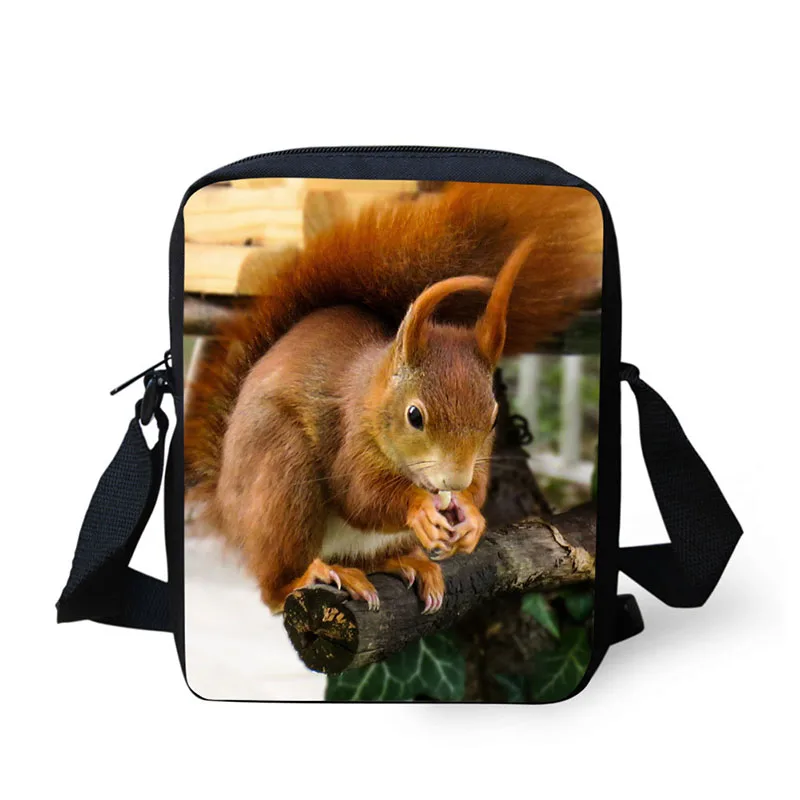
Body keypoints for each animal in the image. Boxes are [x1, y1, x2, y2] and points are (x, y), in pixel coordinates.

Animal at [185, 182, 602, 614]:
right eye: (414, 416)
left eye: (492, 418)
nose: (454, 480)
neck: (374, 393)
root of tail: (225, 511)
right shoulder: (350, 435)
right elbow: (360, 495)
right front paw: (418, 507)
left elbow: (478, 487)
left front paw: (471, 514)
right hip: (282, 476)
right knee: (275, 586)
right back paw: (309, 576)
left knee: (370, 557)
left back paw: (407, 563)